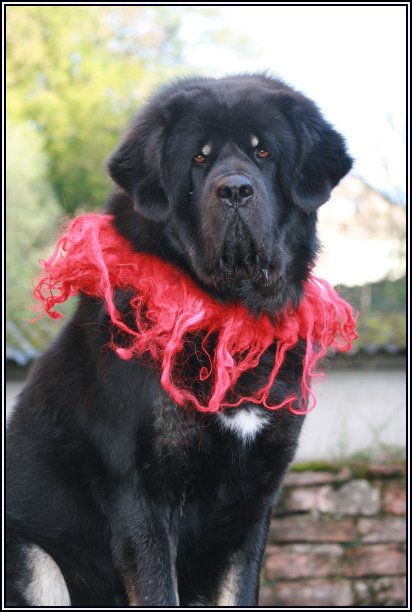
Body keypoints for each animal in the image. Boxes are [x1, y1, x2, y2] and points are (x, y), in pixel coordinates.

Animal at [5, 74, 354, 604]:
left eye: (264, 152)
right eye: (198, 158)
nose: (235, 190)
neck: (228, 315)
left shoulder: (253, 502)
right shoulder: (143, 496)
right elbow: (156, 590)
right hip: (32, 558)